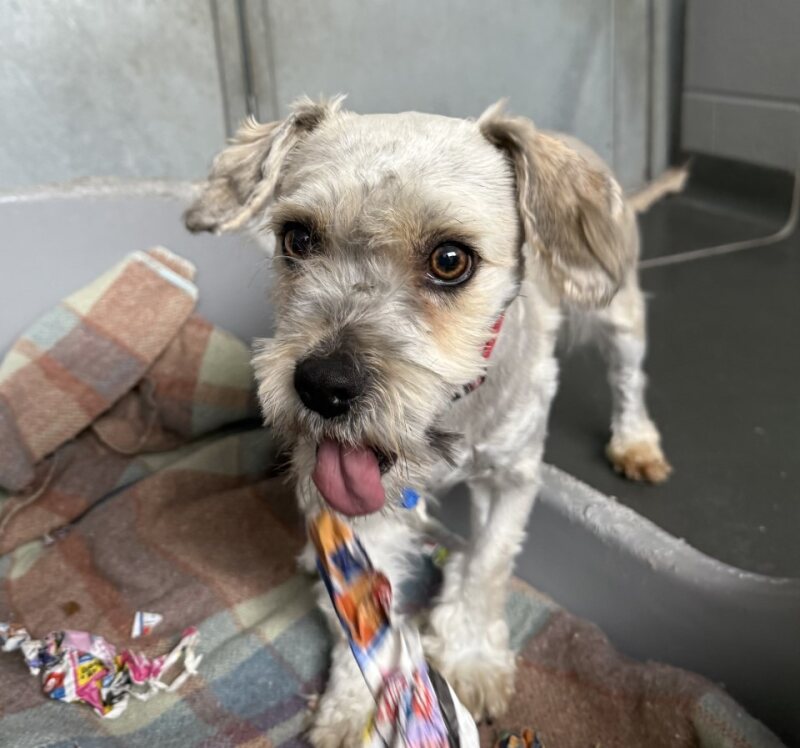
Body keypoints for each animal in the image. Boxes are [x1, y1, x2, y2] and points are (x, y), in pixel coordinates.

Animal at [185, 96, 671, 747]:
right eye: (297, 238)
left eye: (450, 260)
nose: (322, 387)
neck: (447, 419)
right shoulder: (349, 513)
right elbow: (362, 607)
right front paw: (359, 704)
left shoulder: (512, 478)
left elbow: (489, 564)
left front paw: (472, 658)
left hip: (619, 310)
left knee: (629, 380)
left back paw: (635, 442)